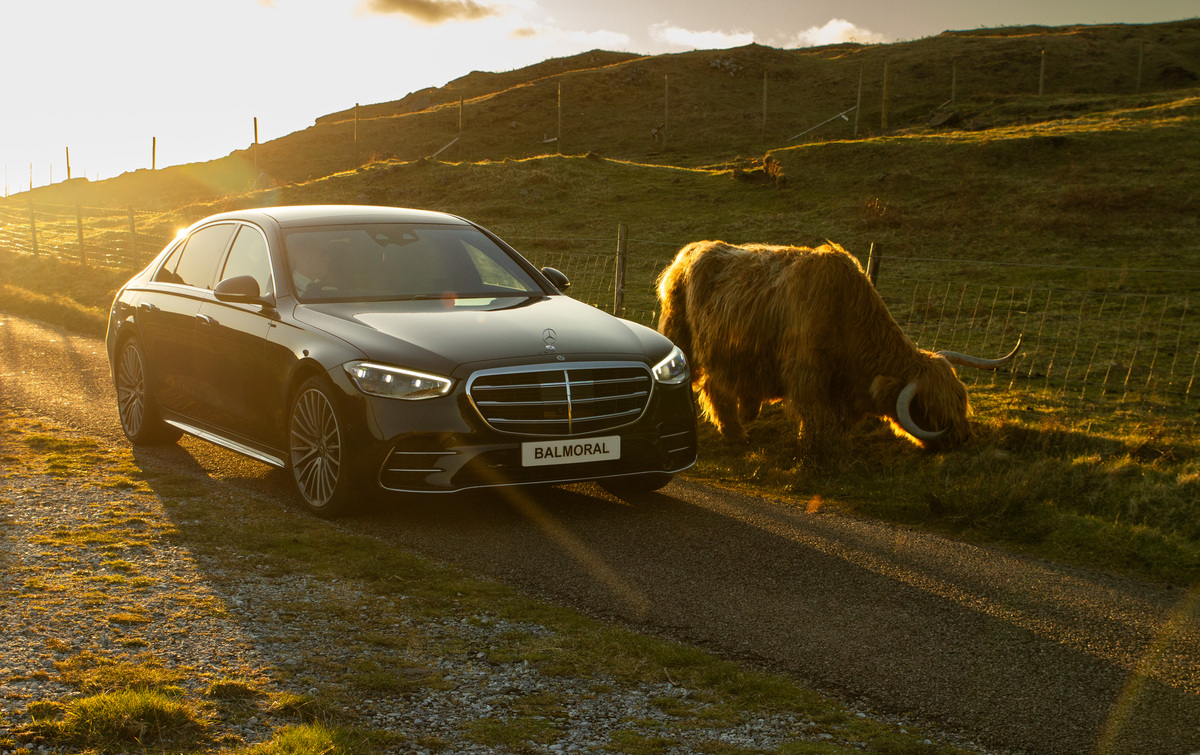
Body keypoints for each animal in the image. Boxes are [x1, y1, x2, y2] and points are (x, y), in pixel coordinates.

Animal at [656, 240, 1020, 448]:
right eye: (933, 406)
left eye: (961, 400)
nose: (963, 438)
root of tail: (686, 253)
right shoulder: (806, 373)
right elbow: (815, 415)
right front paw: (815, 448)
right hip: (682, 336)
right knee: (712, 390)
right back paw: (735, 434)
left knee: (716, 388)